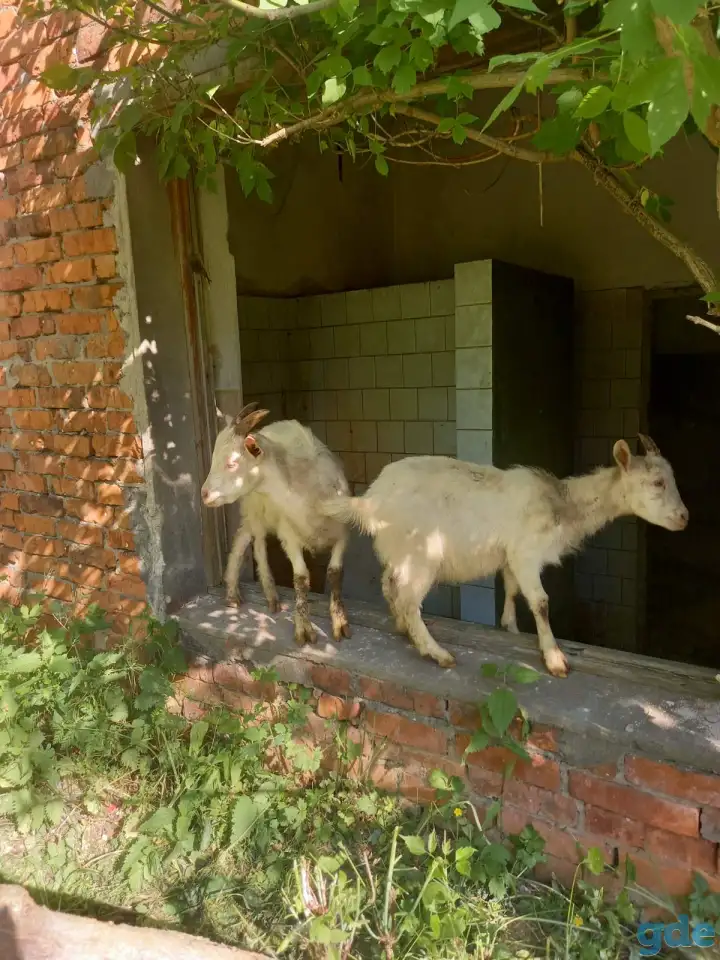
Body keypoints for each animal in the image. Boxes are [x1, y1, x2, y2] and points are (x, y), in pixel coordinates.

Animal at [201, 403, 352, 647]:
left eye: (232, 463)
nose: (204, 494)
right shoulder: (288, 533)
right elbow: (301, 578)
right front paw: (304, 629)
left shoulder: (343, 533)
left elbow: (335, 573)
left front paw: (339, 622)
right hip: (254, 506)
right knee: (254, 541)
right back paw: (259, 592)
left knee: (247, 536)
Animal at [322, 435, 687, 677]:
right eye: (657, 482)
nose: (684, 517)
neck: (560, 502)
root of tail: (371, 500)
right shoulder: (526, 553)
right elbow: (540, 601)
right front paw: (554, 658)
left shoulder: (511, 558)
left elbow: (512, 591)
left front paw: (510, 629)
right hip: (422, 553)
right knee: (409, 598)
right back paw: (437, 653)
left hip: (399, 551)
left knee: (391, 584)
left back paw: (402, 628)